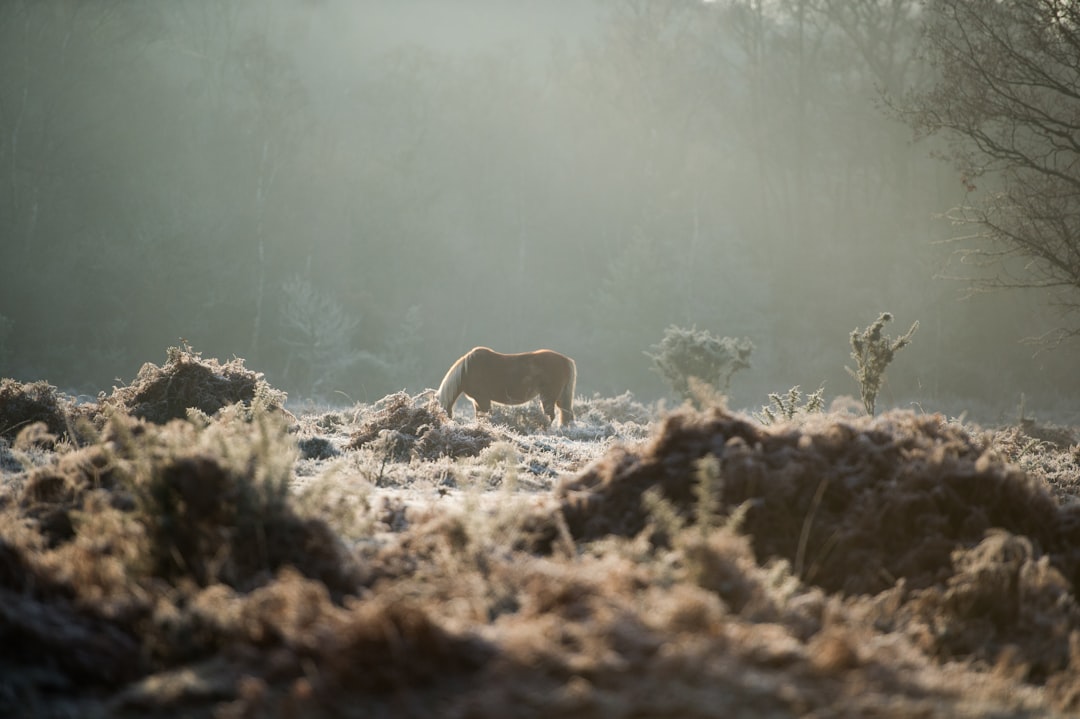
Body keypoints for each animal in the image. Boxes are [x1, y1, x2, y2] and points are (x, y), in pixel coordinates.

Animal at [436, 345, 578, 423]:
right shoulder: (477, 401)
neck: (467, 370)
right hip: (560, 397)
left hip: (548, 397)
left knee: (550, 416)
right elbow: (480, 417)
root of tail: (566, 360)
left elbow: (487, 415)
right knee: (566, 414)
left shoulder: (483, 399)